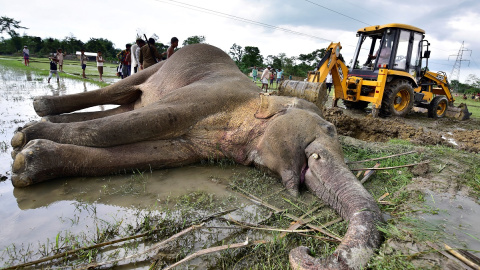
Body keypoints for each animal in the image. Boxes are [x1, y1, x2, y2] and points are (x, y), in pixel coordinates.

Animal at [10, 43, 382, 268]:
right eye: (329, 129)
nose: (304, 250)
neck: (259, 101)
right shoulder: (208, 94)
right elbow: (145, 122)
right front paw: (22, 141)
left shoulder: (202, 146)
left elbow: (152, 152)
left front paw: (27, 162)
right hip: (156, 66)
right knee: (121, 92)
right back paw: (37, 113)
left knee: (125, 104)